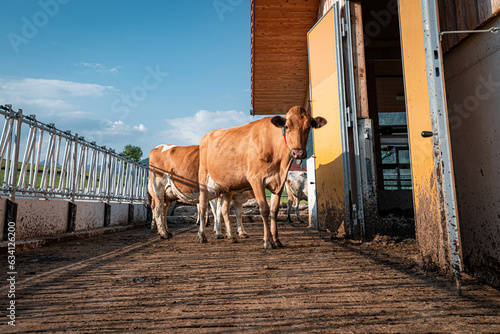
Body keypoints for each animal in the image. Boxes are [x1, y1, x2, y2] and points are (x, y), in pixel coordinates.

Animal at [197, 105, 326, 249]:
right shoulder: (256, 180)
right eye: (287, 126)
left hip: (227, 186)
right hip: (203, 178)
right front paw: (268, 241)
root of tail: (209, 134)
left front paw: (276, 240)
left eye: (308, 127)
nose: (298, 153)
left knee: (224, 209)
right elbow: (264, 209)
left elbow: (274, 210)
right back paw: (202, 236)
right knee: (202, 206)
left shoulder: (279, 182)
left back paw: (230, 236)